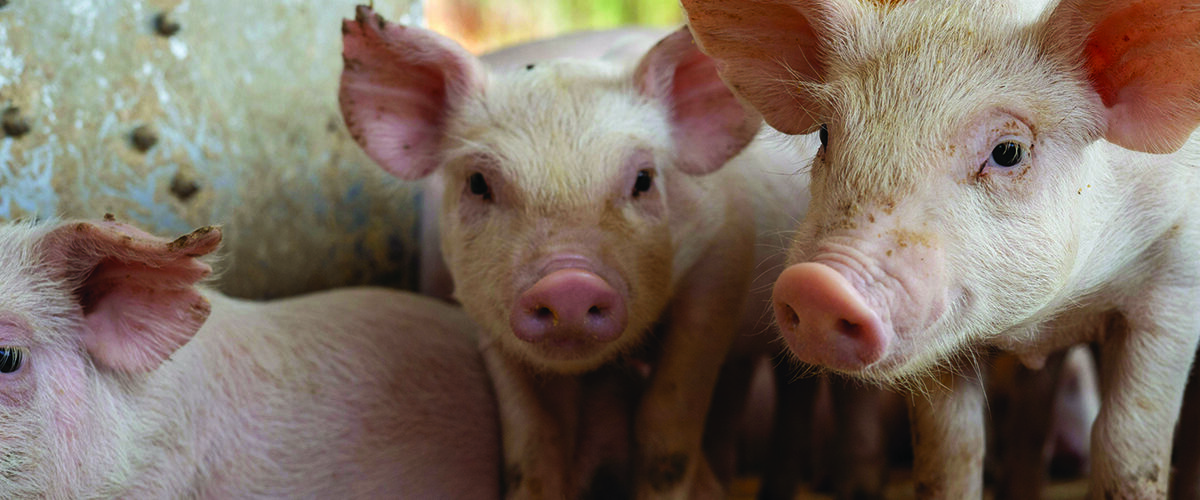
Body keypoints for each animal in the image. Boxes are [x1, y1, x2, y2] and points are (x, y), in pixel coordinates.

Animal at [338, 5, 823, 498]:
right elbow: (534, 444)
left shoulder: (720, 265)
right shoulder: (483, 316)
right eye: (477, 183)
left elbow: (665, 428)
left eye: (644, 179)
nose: (568, 283)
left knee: (794, 390)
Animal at [682, 0, 1200, 498]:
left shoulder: (1174, 284)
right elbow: (950, 452)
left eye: (1008, 151)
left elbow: (1127, 445)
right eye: (826, 134)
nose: (817, 286)